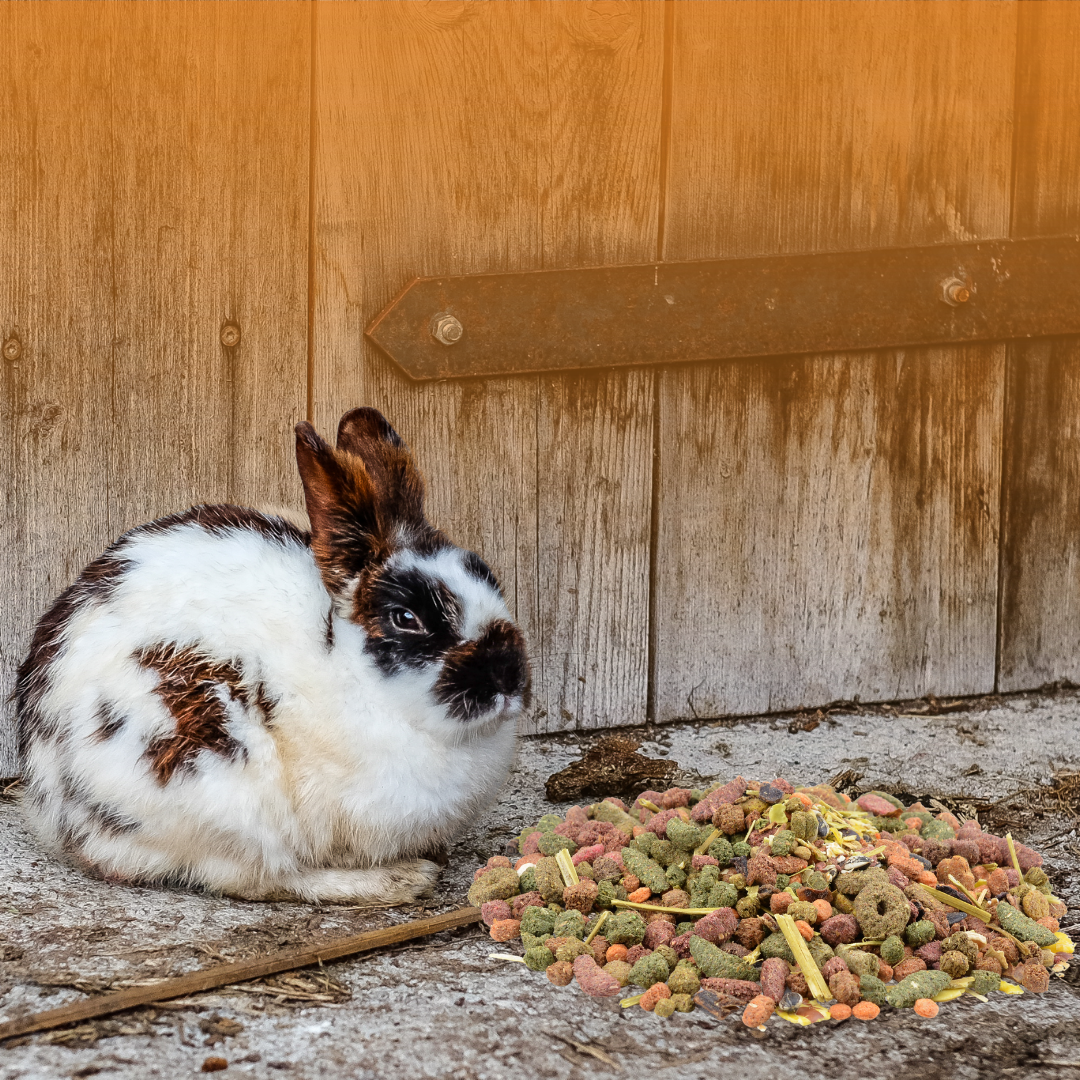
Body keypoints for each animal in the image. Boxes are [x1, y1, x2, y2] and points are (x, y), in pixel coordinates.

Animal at [14, 407, 529, 904]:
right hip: (218, 778)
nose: (507, 676)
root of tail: (53, 804)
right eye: (406, 618)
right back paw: (397, 881)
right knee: (260, 877)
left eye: (490, 579)